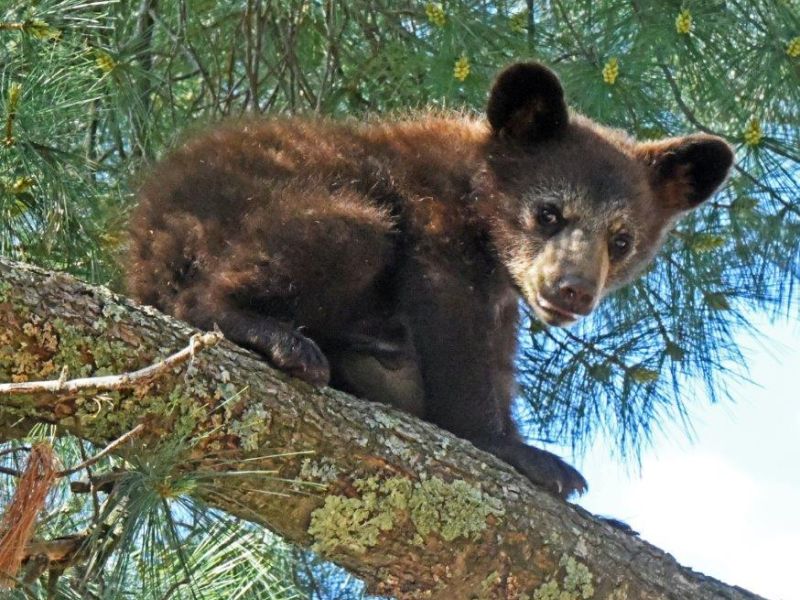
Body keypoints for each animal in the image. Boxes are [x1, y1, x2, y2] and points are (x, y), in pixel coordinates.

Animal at [127, 62, 733, 499]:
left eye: (622, 239)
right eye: (549, 213)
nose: (573, 290)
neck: (476, 199)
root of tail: (145, 237)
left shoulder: (504, 298)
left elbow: (498, 355)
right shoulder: (435, 226)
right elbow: (452, 330)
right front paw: (521, 452)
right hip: (265, 219)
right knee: (346, 237)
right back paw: (279, 337)